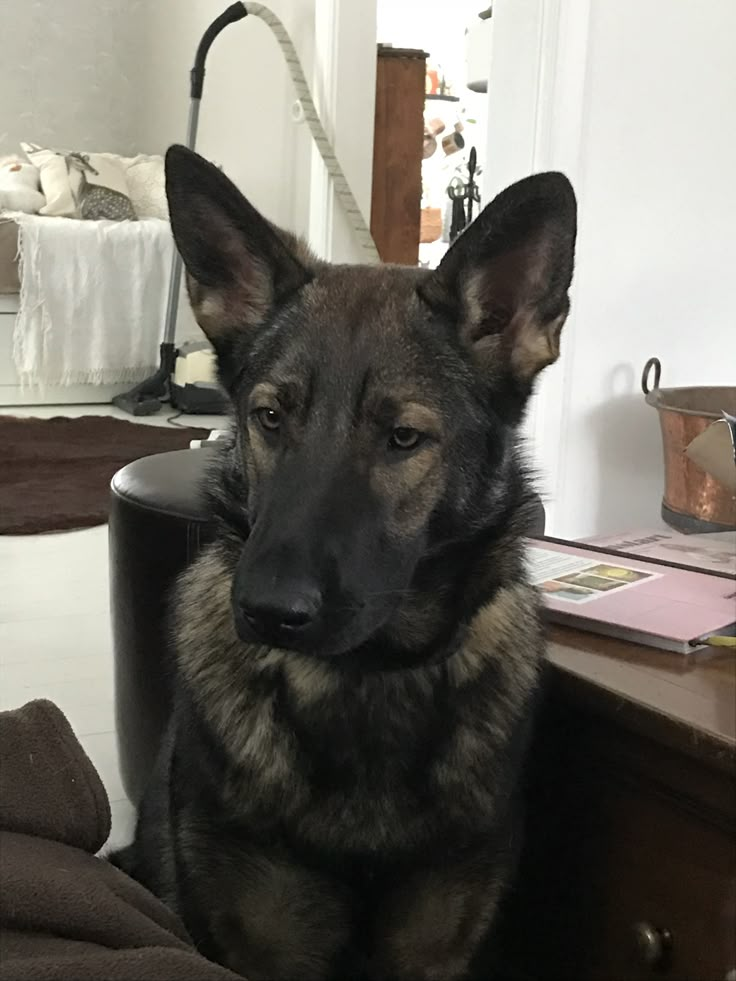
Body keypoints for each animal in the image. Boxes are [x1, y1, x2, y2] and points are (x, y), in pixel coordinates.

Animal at [113, 145, 576, 980]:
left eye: (402, 437)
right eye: (269, 417)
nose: (267, 610)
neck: (365, 678)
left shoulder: (435, 948)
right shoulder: (262, 949)